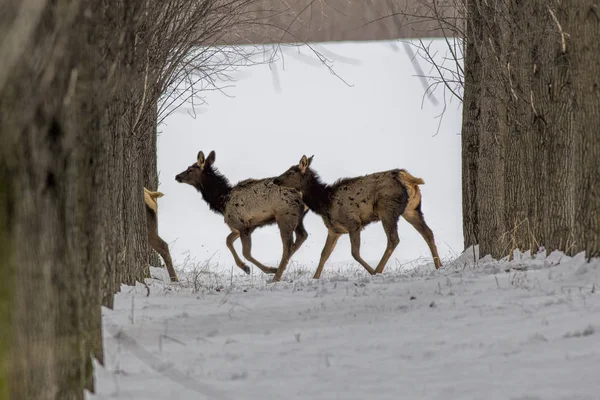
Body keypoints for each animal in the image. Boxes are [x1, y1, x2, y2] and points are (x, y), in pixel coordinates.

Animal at [175, 150, 308, 282]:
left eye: (190, 169)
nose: (177, 176)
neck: (222, 201)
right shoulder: (245, 226)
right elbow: (228, 240)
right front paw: (244, 267)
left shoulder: (241, 224)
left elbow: (246, 253)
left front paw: (263, 269)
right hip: (298, 218)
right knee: (302, 236)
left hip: (285, 216)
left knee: (287, 247)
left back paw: (276, 275)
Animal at [272, 155, 440, 280]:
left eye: (290, 172)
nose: (275, 180)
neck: (323, 203)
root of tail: (408, 178)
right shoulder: (334, 230)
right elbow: (324, 254)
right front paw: (315, 278)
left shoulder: (353, 223)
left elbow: (354, 253)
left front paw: (371, 272)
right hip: (412, 210)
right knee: (428, 233)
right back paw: (439, 266)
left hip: (387, 209)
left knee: (394, 239)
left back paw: (378, 270)